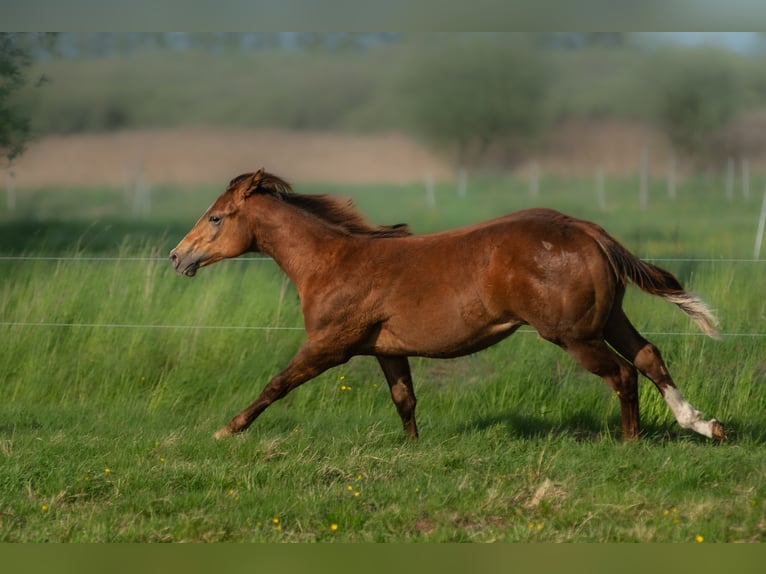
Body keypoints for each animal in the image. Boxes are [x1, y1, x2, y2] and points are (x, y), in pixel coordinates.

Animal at [169, 169, 725, 442]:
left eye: (216, 217)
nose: (178, 257)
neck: (331, 262)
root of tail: (588, 230)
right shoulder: (387, 350)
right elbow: (405, 400)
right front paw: (413, 448)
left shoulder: (329, 345)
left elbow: (276, 384)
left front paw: (224, 431)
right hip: (607, 318)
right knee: (648, 356)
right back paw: (704, 425)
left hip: (574, 334)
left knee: (623, 373)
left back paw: (631, 441)